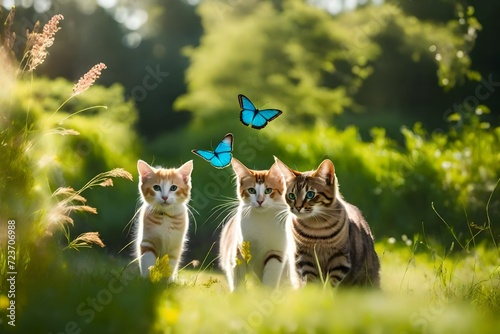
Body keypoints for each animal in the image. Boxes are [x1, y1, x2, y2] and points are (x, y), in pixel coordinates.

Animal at [218, 158, 294, 290]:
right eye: (251, 190)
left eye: (268, 190)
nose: (260, 201)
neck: (261, 219)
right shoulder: (239, 251)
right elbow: (238, 278)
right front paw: (239, 294)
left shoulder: (276, 253)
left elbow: (269, 281)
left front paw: (266, 294)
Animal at [274, 157, 378, 288]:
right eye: (291, 196)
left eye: (310, 194)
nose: (297, 207)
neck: (316, 229)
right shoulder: (304, 258)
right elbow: (312, 283)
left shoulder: (340, 259)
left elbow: (330, 284)